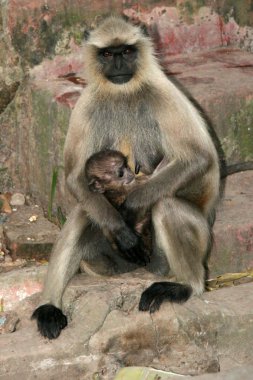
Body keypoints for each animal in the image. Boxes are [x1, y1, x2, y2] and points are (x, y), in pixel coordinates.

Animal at [32, 16, 220, 340]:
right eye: (108, 54)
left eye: (127, 51)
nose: (119, 63)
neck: (124, 92)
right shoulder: (87, 103)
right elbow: (74, 177)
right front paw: (121, 228)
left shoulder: (164, 93)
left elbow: (198, 157)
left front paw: (131, 208)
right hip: (106, 263)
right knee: (83, 212)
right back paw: (50, 306)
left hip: (184, 247)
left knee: (167, 206)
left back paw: (186, 285)